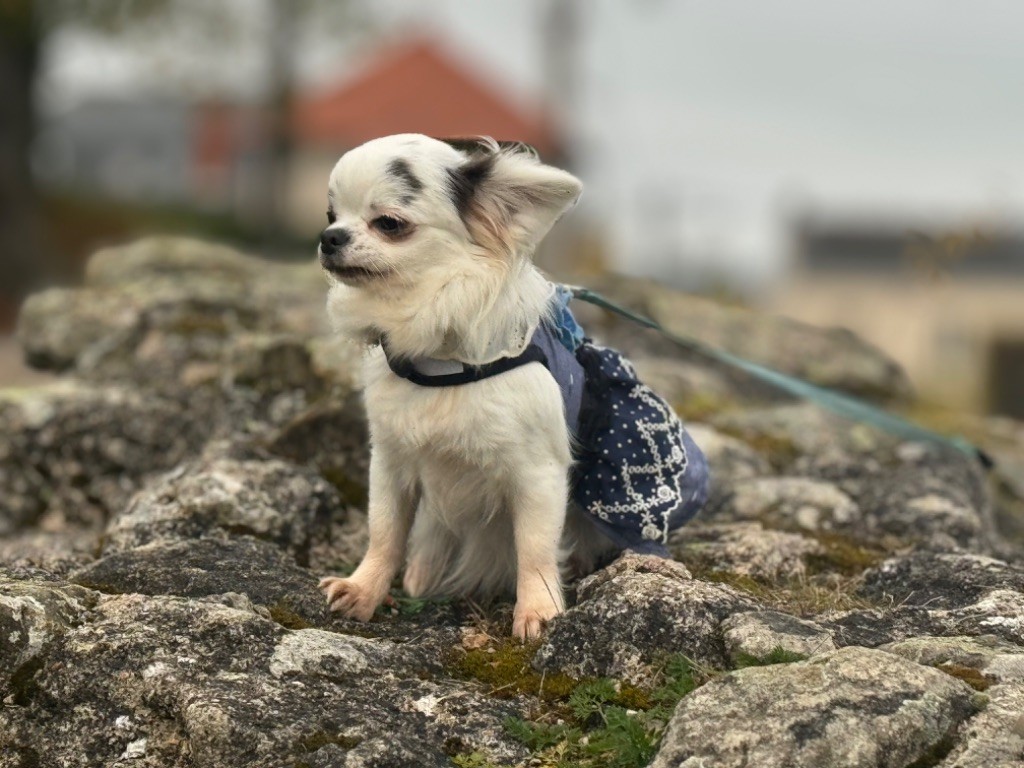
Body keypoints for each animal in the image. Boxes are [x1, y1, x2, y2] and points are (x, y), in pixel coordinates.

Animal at [315, 135, 708, 638]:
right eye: (330, 215)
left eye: (389, 224)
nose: (329, 238)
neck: (440, 356)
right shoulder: (391, 463)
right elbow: (384, 531)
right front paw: (363, 591)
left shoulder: (538, 474)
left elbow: (535, 548)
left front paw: (538, 611)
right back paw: (422, 572)